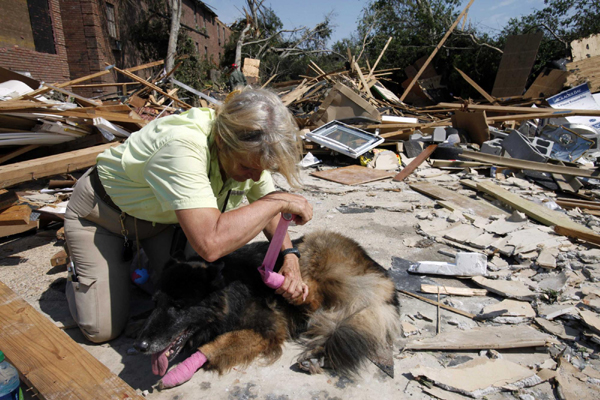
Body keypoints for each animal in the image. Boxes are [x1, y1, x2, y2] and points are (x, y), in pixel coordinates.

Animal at [134, 231, 400, 388]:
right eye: (156, 303)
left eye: (178, 306)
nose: (140, 347)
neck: (228, 292)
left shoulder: (267, 329)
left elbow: (214, 345)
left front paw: (179, 372)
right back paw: (317, 354)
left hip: (312, 250)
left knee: (315, 301)